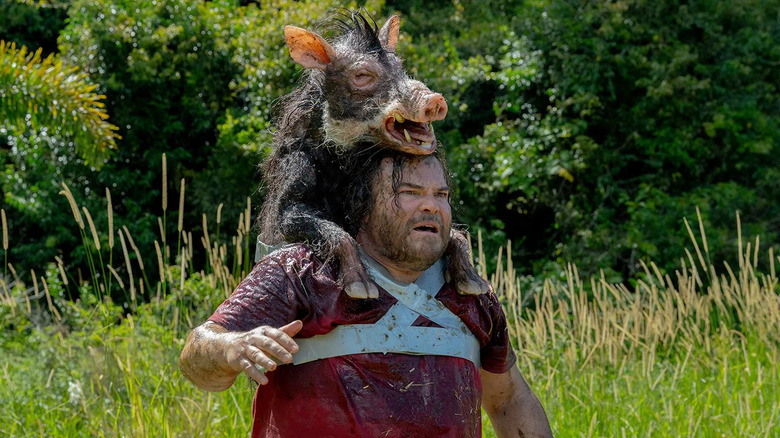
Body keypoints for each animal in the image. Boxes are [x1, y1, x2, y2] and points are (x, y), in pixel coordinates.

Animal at [257, 11, 489, 298]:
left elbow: (457, 234)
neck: (343, 164)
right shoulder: (292, 184)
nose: (434, 99)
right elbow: (337, 232)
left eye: (400, 67)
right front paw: (362, 290)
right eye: (362, 74)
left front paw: (476, 286)